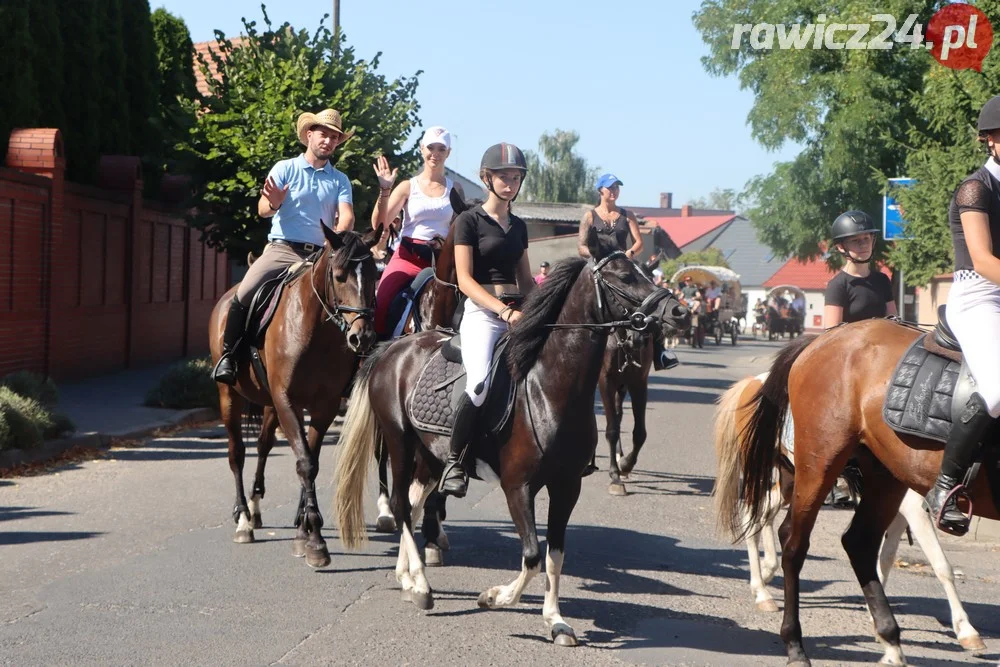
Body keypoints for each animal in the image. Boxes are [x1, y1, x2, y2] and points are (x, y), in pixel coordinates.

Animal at [209, 224, 380, 568]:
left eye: (375, 275)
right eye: (339, 276)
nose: (363, 336)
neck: (316, 331)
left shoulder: (324, 405)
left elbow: (310, 459)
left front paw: (305, 532)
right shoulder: (287, 400)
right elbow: (305, 463)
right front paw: (314, 539)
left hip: (270, 404)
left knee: (263, 446)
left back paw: (255, 508)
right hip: (228, 395)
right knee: (237, 453)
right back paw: (244, 520)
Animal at [334, 232, 688, 644]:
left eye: (644, 270)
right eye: (624, 276)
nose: (679, 312)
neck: (548, 387)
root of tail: (393, 348)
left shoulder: (567, 487)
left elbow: (555, 556)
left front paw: (556, 621)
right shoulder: (518, 487)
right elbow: (532, 555)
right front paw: (493, 597)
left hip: (430, 455)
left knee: (415, 501)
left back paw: (406, 577)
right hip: (400, 442)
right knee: (400, 505)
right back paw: (421, 586)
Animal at [728, 320, 1000, 667]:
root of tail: (824, 339)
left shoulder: (904, 513)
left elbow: (887, 558)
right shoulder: (917, 511)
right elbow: (941, 566)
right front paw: (966, 630)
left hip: (870, 477)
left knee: (850, 539)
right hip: (817, 466)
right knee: (788, 538)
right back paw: (790, 636)